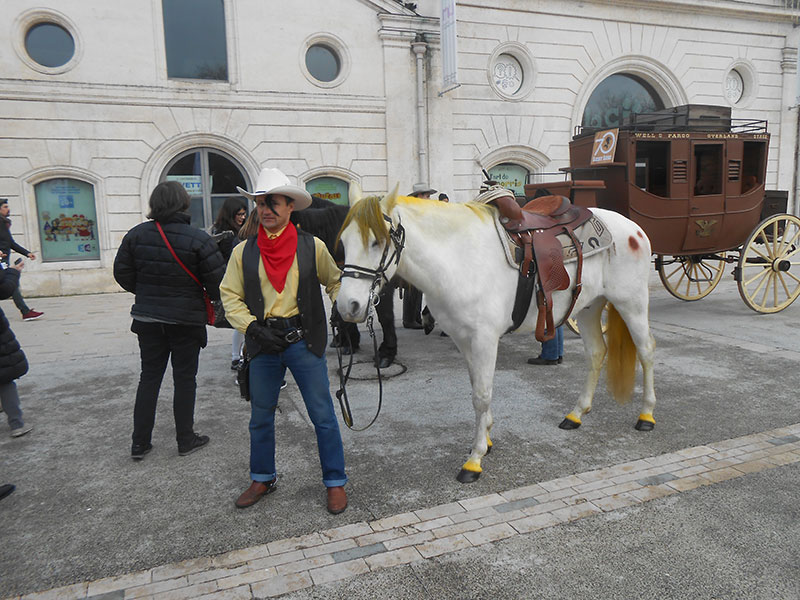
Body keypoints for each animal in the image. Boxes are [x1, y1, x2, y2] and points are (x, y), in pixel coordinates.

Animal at [336, 189, 656, 482]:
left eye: (377, 241)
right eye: (343, 243)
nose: (347, 306)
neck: (459, 260)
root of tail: (635, 228)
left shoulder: (484, 339)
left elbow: (481, 395)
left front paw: (475, 459)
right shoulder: (463, 339)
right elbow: (476, 388)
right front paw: (486, 438)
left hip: (632, 303)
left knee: (646, 351)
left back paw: (646, 416)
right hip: (589, 307)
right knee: (597, 353)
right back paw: (576, 414)